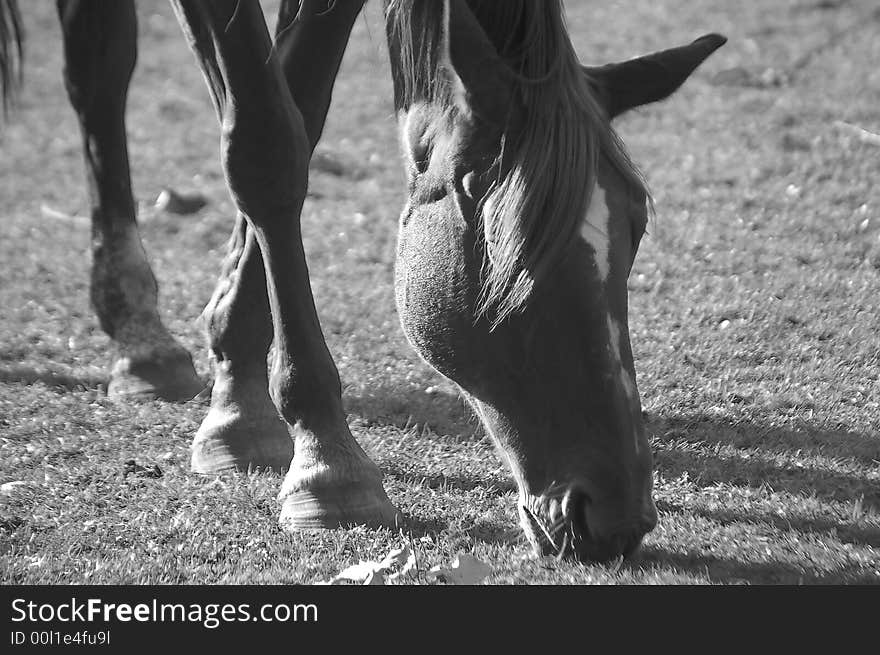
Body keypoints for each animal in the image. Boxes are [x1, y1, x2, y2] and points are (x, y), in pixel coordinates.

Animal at [1, 0, 720, 564]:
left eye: (637, 225)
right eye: (513, 245)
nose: (617, 514)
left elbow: (299, 104)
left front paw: (238, 387)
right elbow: (266, 141)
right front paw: (325, 459)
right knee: (99, 69)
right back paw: (138, 331)